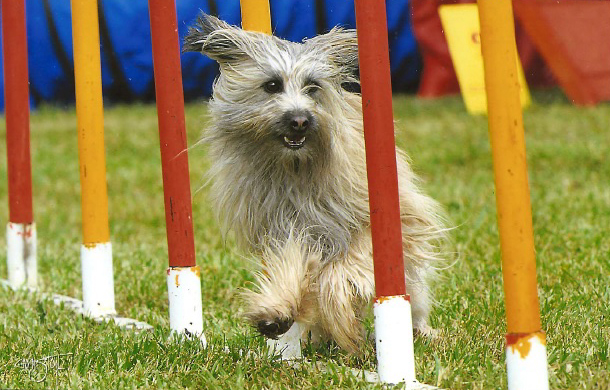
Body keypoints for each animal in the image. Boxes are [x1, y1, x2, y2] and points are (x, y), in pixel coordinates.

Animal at [183, 14, 444, 354]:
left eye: (312, 87)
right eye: (272, 85)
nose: (299, 120)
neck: (295, 169)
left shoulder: (381, 219)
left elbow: (344, 266)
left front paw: (339, 314)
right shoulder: (284, 227)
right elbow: (292, 264)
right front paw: (275, 311)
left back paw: (418, 330)